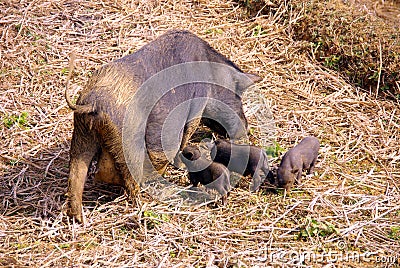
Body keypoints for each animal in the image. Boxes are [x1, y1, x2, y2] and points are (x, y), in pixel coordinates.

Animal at [64, 29, 260, 222]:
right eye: (238, 96)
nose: (246, 128)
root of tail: (93, 103)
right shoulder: (197, 107)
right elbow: (186, 135)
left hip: (81, 134)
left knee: (77, 174)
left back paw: (78, 218)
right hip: (127, 141)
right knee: (128, 178)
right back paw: (142, 204)